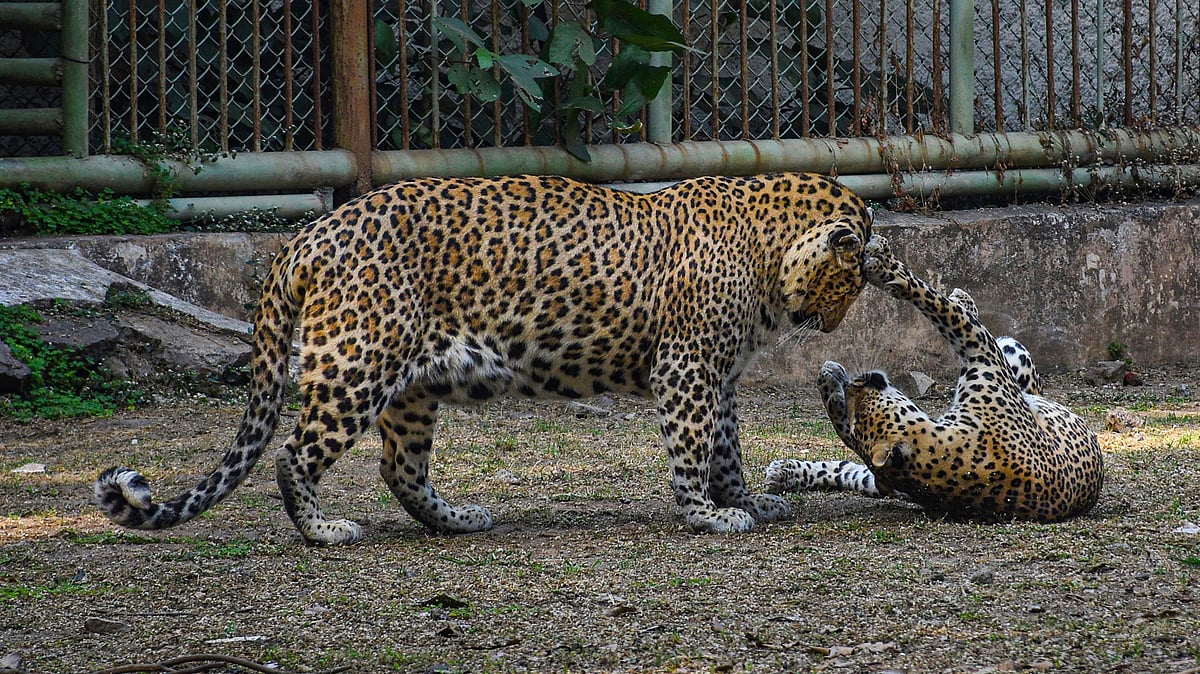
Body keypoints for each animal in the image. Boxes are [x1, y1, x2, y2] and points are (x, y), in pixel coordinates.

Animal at [94, 173, 875, 545]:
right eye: (854, 278)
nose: (837, 324)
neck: (770, 254)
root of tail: (307, 235)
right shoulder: (687, 367)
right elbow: (693, 447)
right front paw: (707, 517)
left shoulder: (724, 375)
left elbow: (729, 448)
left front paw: (746, 500)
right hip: (357, 363)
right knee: (294, 454)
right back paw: (323, 531)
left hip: (409, 385)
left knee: (399, 467)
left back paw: (456, 520)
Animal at [765, 236, 1103, 523]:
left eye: (858, 407)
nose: (856, 383)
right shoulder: (984, 355)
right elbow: (944, 309)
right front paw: (887, 267)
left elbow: (845, 434)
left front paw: (829, 382)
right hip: (1013, 353)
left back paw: (784, 471)